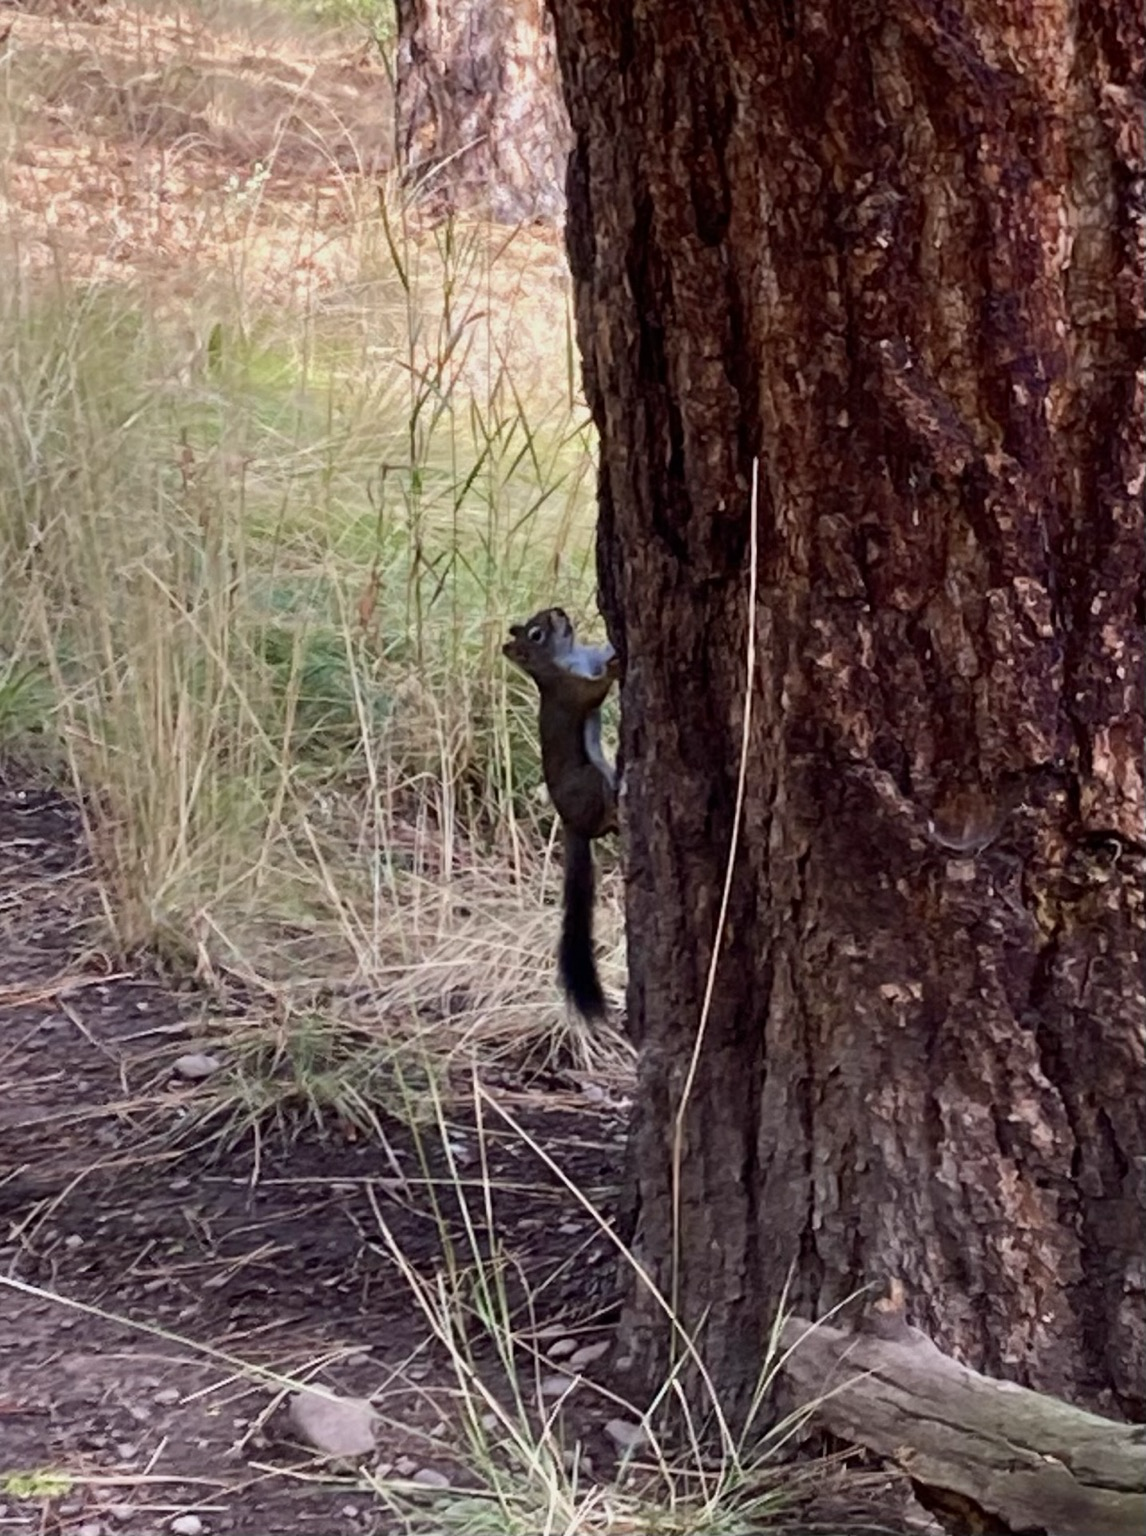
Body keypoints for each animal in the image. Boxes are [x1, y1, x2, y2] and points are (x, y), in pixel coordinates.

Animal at [503, 607, 619, 1019]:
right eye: (536, 634)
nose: (560, 611)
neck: (571, 656)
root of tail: (570, 823)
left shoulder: (589, 657)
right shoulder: (571, 691)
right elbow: (594, 691)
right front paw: (617, 667)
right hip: (590, 781)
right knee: (603, 819)